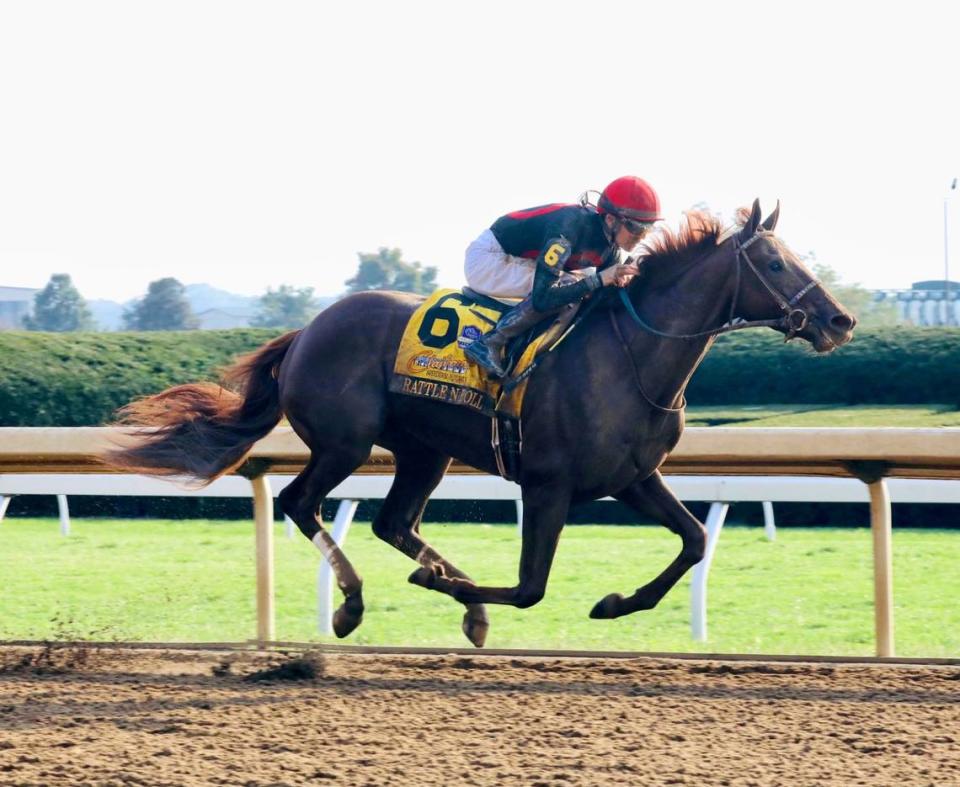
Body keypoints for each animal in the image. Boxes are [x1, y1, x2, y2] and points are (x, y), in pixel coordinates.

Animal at [110, 202, 856, 648]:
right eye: (774, 261)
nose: (840, 319)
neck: (630, 357)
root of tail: (306, 331)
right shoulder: (548, 484)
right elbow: (531, 588)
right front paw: (445, 587)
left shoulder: (634, 477)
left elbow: (696, 539)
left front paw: (615, 603)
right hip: (345, 441)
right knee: (302, 503)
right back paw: (353, 603)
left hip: (423, 452)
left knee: (393, 523)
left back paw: (452, 599)